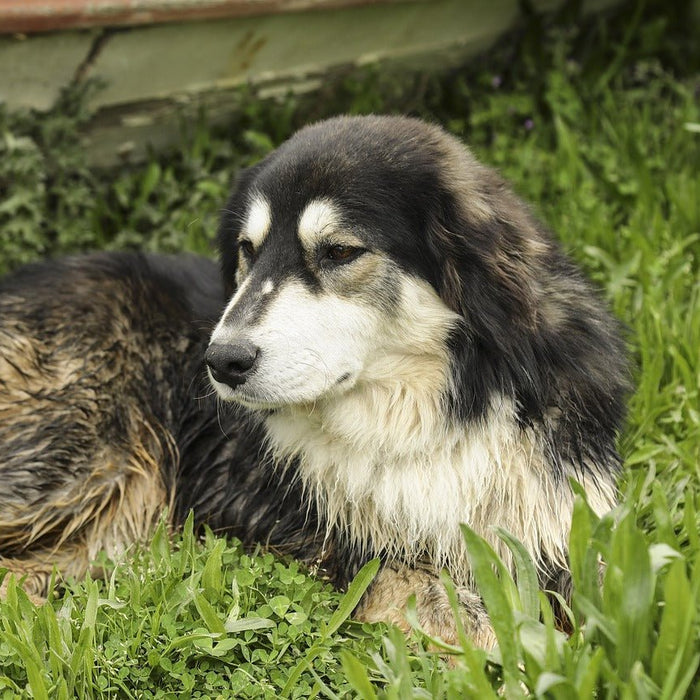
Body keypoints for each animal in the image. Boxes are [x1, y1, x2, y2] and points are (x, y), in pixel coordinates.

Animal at [0, 115, 628, 644]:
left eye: (340, 251)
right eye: (247, 251)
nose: (220, 361)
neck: (437, 410)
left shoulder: (562, 521)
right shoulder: (371, 558)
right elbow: (477, 621)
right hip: (89, 461)